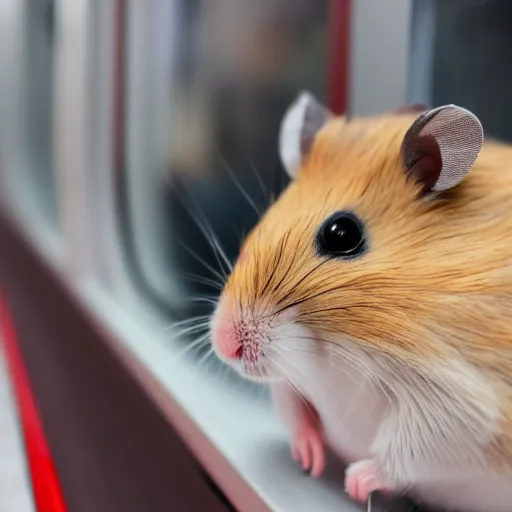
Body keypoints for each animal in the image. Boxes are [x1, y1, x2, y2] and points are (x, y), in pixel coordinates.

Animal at [209, 92, 512, 512]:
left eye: (342, 234)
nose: (224, 345)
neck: (336, 355)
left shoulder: (462, 406)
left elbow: (410, 448)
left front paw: (355, 483)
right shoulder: (291, 379)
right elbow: (291, 404)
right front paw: (310, 460)